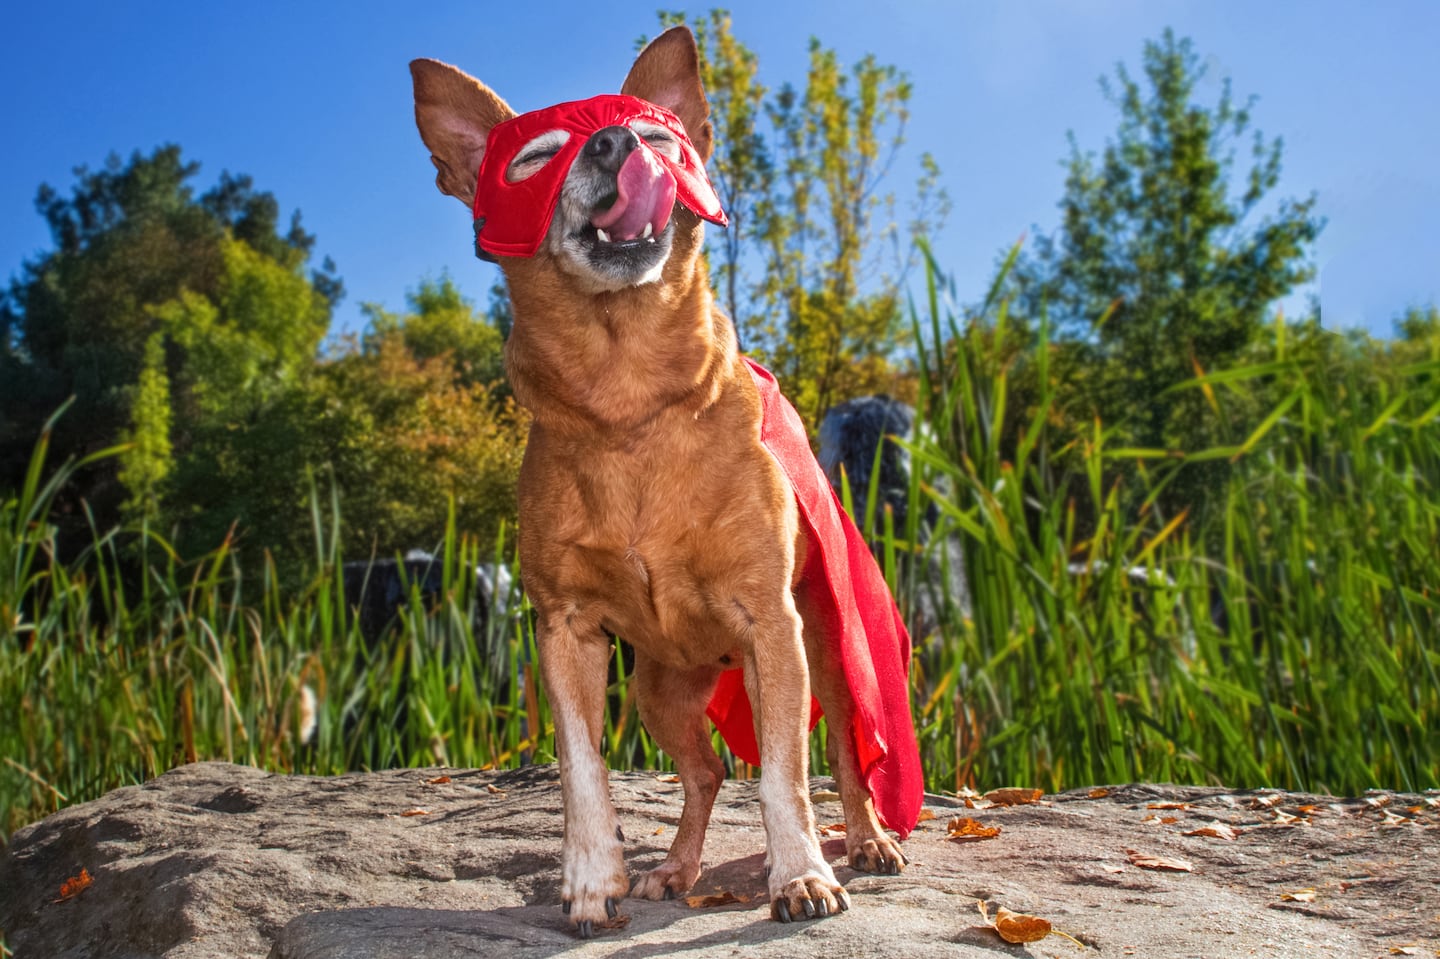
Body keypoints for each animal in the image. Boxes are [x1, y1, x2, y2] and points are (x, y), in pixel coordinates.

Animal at [411, 28, 915, 933]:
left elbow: (782, 775)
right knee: (706, 772)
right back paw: (675, 870)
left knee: (842, 757)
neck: (630, 399)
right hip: (659, 688)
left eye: (655, 135)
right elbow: (580, 768)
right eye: (534, 156)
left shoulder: (771, 625)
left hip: (824, 651)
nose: (615, 144)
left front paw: (799, 873)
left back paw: (865, 842)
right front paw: (589, 879)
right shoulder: (566, 632)